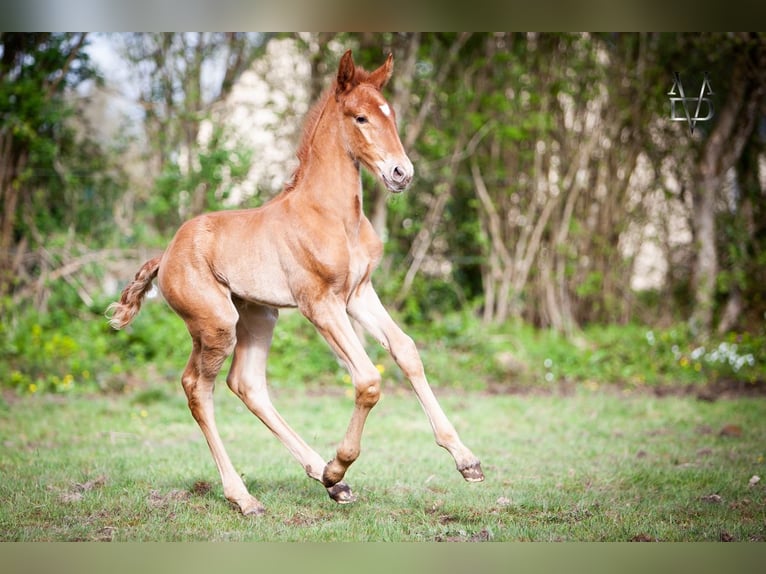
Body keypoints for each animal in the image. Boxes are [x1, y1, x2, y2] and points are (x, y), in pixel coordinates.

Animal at [108, 50, 484, 516]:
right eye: (360, 117)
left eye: (391, 114)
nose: (401, 173)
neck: (332, 216)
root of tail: (165, 256)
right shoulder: (320, 303)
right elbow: (368, 379)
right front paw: (339, 465)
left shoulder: (359, 294)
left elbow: (406, 351)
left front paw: (466, 460)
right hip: (216, 323)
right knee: (198, 388)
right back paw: (248, 495)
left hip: (259, 316)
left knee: (246, 384)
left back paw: (325, 480)